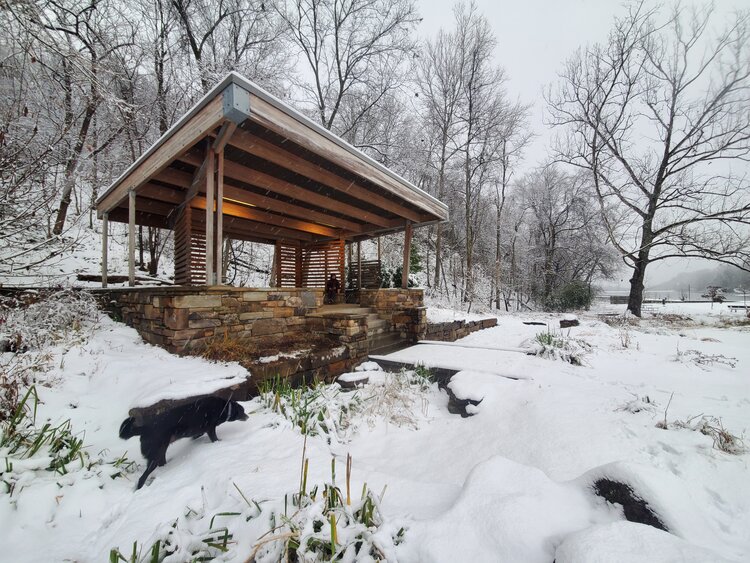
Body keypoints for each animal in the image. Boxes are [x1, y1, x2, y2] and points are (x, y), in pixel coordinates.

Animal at [119, 396, 250, 490]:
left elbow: (197, 435)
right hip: (154, 457)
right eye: (242, 411)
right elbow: (214, 438)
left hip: (161, 453)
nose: (248, 416)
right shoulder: (210, 429)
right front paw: (219, 443)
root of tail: (144, 428)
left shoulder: (201, 430)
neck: (224, 407)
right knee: (142, 478)